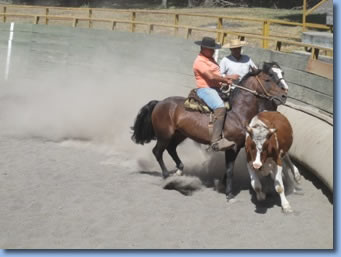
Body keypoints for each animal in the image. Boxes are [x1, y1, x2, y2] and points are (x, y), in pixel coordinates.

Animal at [130, 61, 286, 200]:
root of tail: (160, 103)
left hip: (179, 134)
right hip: (164, 135)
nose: (284, 95)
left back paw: (179, 170)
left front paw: (222, 185)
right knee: (157, 151)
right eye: (268, 78)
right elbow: (230, 171)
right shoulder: (232, 148)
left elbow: (228, 170)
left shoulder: (236, 148)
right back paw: (167, 176)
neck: (237, 113)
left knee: (171, 149)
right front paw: (229, 194)